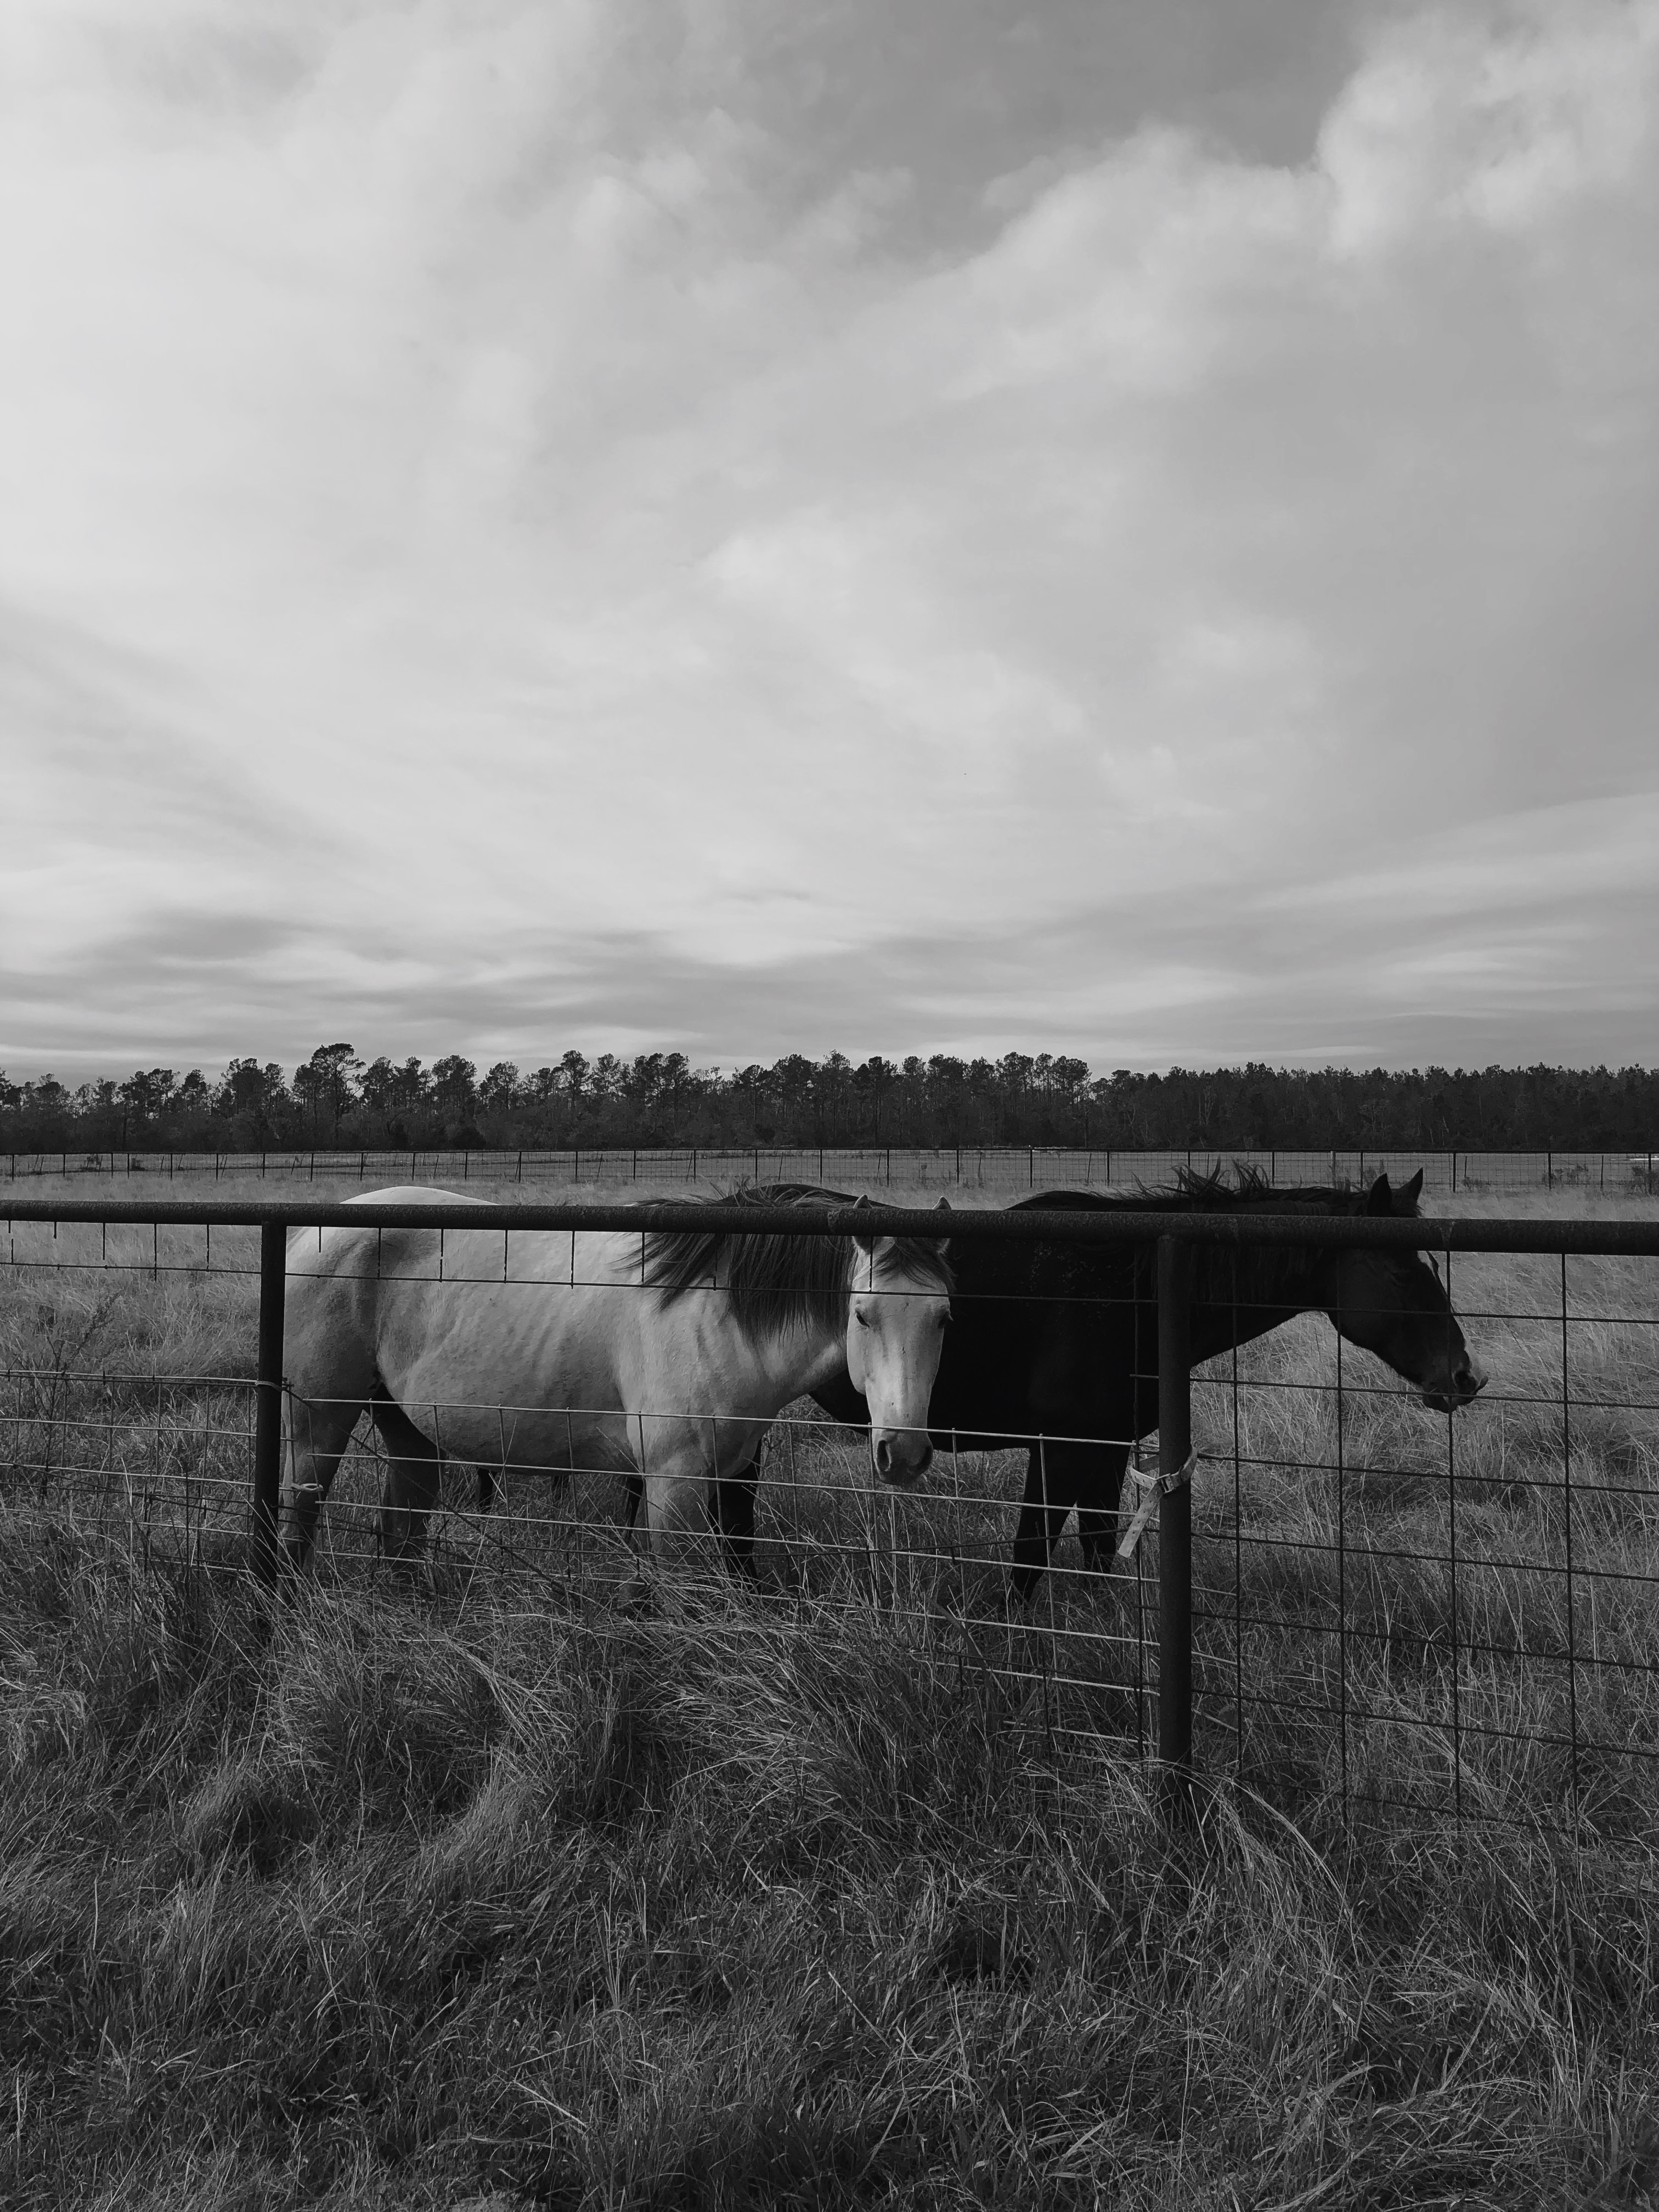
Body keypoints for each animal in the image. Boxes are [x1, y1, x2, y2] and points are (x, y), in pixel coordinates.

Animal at [277, 1183, 952, 1572]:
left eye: (945, 1317)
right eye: (862, 1314)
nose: (904, 1453)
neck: (716, 1312)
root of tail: (313, 1230)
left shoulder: (714, 1474)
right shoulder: (673, 1485)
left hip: (407, 1427)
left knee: (403, 1528)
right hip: (319, 1420)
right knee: (298, 1518)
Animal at [732, 1169, 1484, 1597]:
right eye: (1400, 1270)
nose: (1464, 1375)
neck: (1133, 1288)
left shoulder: (1105, 1449)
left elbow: (1099, 1553)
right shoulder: (1060, 1449)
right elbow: (1029, 1561)